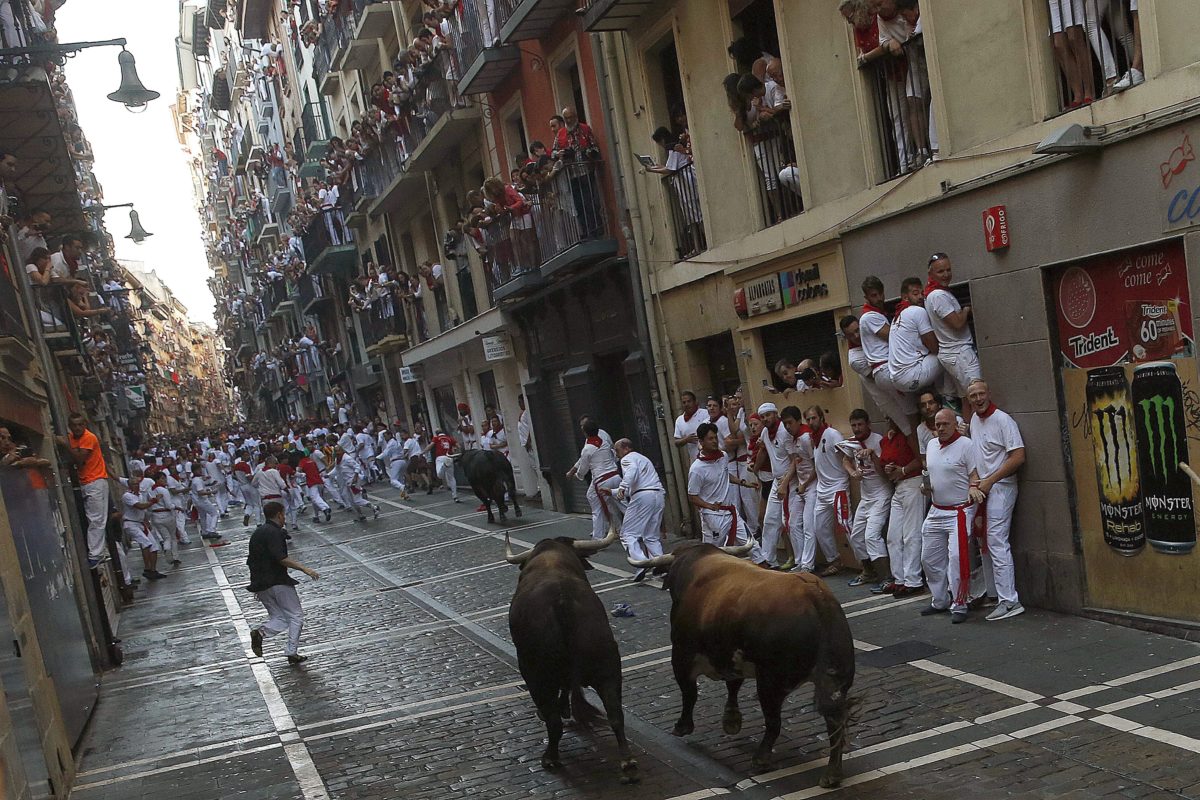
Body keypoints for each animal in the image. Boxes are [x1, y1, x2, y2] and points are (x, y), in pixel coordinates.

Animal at [504, 527, 643, 786]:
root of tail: (562, 601)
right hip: (608, 666)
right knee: (615, 713)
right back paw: (627, 763)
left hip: (536, 674)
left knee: (553, 722)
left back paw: (550, 757)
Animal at [633, 544, 859, 786]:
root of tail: (815, 595)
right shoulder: (732, 657)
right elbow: (733, 685)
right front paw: (731, 720)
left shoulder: (682, 655)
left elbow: (690, 693)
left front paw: (682, 726)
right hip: (836, 682)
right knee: (834, 721)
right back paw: (832, 773)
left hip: (771, 683)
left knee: (774, 722)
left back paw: (761, 758)